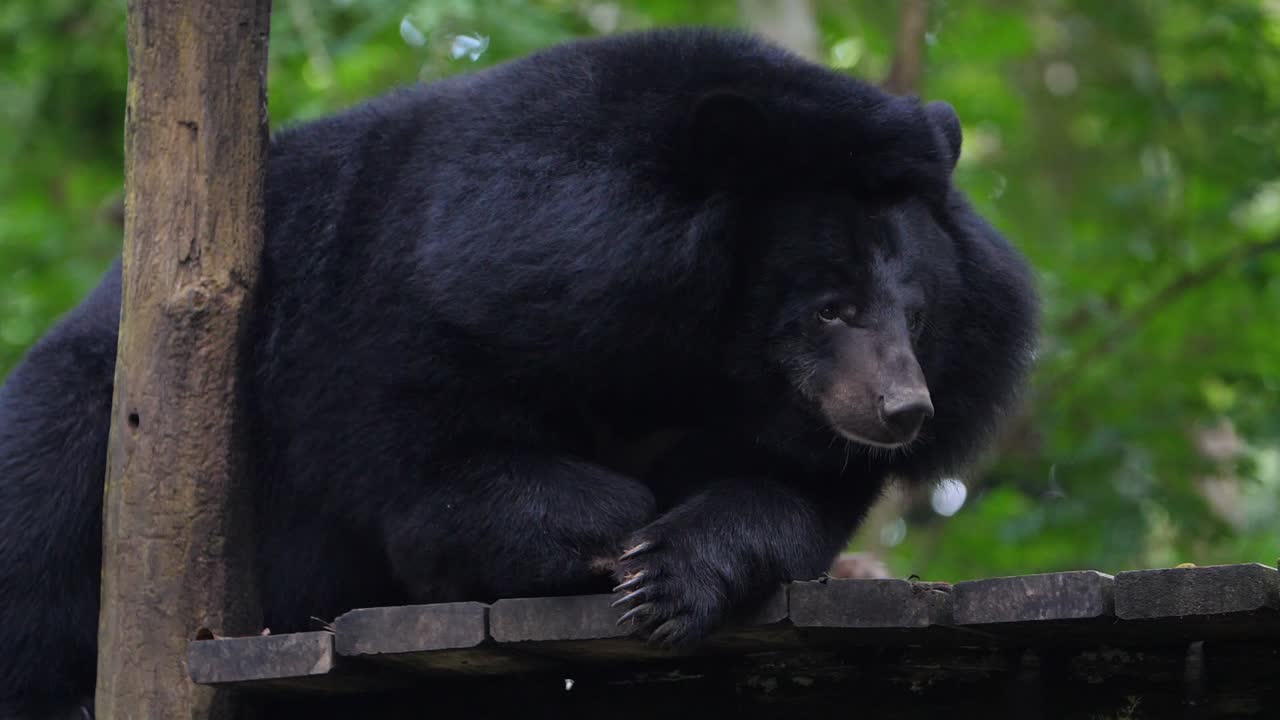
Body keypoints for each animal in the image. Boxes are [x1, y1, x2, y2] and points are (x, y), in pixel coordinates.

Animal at [0, 27, 1037, 718]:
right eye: (830, 307)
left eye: (918, 312)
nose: (902, 411)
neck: (698, 355)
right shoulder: (411, 302)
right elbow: (428, 474)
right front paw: (609, 532)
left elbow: (785, 498)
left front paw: (664, 574)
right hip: (95, 401)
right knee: (43, 513)